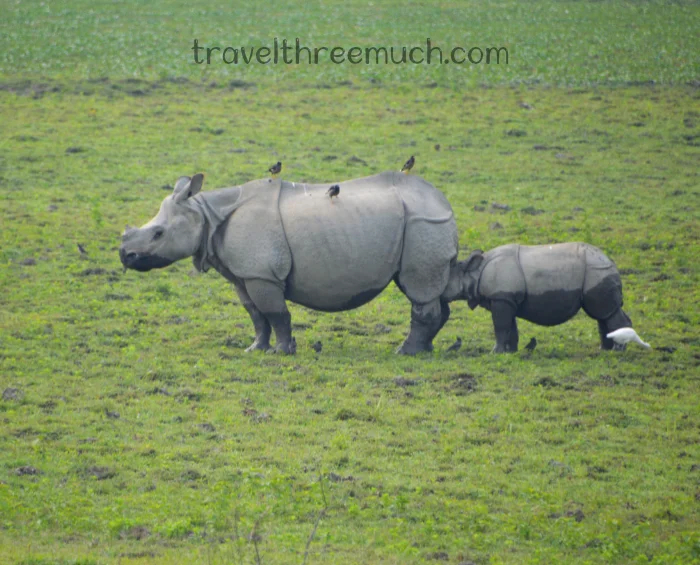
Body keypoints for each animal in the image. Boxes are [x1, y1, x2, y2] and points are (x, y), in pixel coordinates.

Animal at [119, 172, 461, 354]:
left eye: (158, 234)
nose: (125, 256)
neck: (205, 214)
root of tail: (444, 202)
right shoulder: (244, 274)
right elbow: (256, 315)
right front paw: (255, 349)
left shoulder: (262, 274)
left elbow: (276, 313)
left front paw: (281, 352)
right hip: (422, 223)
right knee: (432, 290)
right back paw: (425, 350)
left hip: (423, 223)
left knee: (418, 289)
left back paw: (405, 352)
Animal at [450, 243, 633, 352]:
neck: (475, 271)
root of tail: (611, 261)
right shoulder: (507, 298)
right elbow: (511, 327)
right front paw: (511, 352)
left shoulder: (501, 298)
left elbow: (501, 326)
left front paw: (496, 352)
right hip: (597, 273)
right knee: (602, 313)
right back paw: (604, 350)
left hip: (597, 271)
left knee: (605, 312)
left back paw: (617, 351)